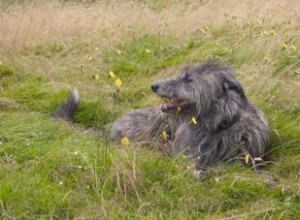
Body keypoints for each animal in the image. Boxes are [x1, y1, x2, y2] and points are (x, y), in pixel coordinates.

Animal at [56, 59, 270, 175]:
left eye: (189, 80)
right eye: (183, 75)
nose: (154, 85)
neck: (218, 125)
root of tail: (109, 128)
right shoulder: (185, 155)